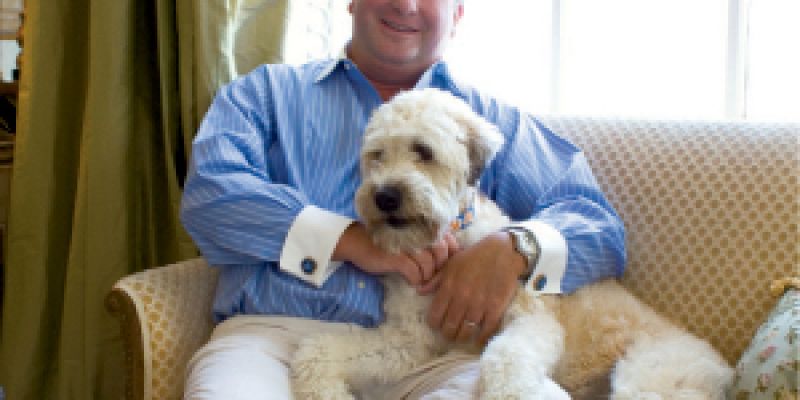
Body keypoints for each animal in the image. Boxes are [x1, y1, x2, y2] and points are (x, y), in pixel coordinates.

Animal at [290, 88, 733, 399]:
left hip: (648, 378)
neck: (450, 236)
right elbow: (318, 350)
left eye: (423, 151)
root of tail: (724, 369)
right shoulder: (409, 342)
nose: (384, 196)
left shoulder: (529, 320)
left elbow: (503, 359)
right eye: (377, 155)